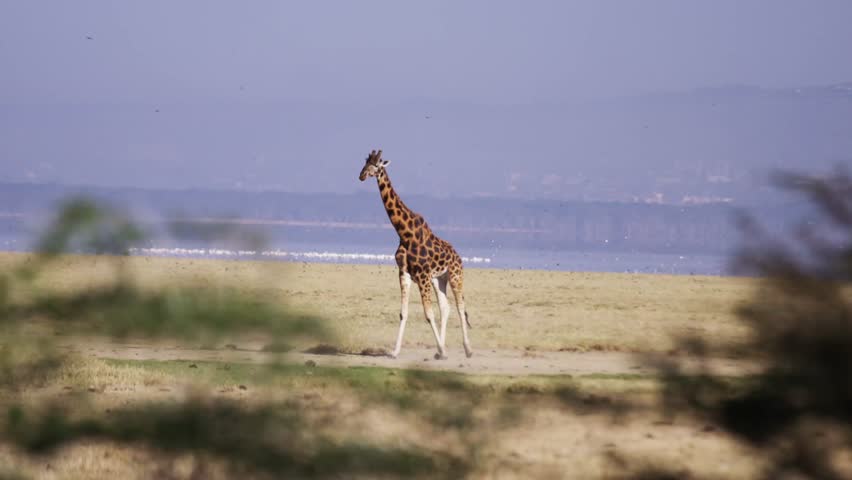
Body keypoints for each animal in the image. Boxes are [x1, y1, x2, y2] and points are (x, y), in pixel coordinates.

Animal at [358, 149, 472, 360]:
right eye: (365, 164)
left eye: (376, 165)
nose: (361, 176)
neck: (404, 233)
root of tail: (458, 256)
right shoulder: (405, 272)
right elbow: (404, 313)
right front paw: (394, 352)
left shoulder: (422, 275)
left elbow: (428, 313)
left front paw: (442, 350)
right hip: (439, 279)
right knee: (446, 307)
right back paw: (440, 351)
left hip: (455, 275)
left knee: (460, 307)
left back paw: (467, 349)